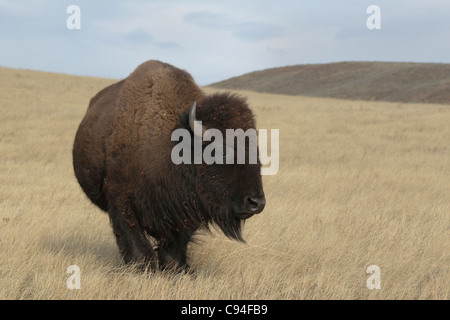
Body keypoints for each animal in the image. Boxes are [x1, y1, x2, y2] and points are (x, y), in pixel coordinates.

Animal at [72, 60, 266, 272]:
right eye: (222, 151)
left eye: (257, 151)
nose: (256, 203)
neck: (175, 143)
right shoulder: (122, 201)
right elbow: (135, 242)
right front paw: (142, 268)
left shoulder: (184, 211)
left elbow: (175, 246)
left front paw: (175, 268)